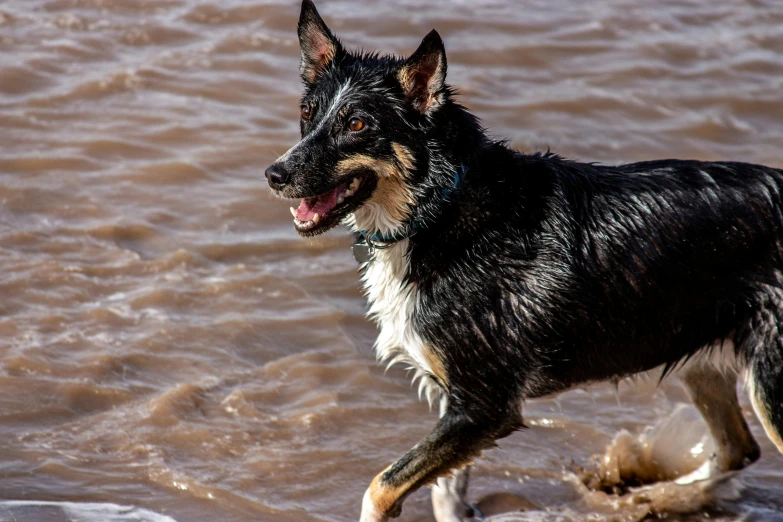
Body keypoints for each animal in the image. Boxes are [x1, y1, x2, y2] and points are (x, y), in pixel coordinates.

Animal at [266, 2, 783, 516]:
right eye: (307, 113)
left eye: (358, 125)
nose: (274, 174)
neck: (440, 206)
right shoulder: (458, 401)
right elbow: (442, 491)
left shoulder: (485, 405)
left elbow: (381, 485)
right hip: (701, 355)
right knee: (738, 449)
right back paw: (663, 494)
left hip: (769, 377)